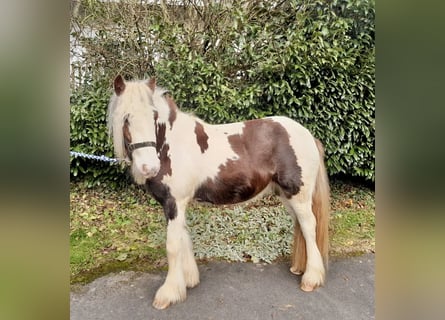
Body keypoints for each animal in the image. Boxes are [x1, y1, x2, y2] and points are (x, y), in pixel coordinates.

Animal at [107, 75, 330, 310]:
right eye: (126, 118)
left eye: (154, 116)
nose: (149, 167)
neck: (172, 147)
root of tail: (307, 135)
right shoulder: (176, 205)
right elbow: (184, 239)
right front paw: (188, 280)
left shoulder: (174, 202)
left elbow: (172, 245)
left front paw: (168, 294)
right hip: (287, 196)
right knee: (301, 226)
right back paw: (299, 268)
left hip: (299, 195)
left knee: (308, 226)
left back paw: (311, 278)